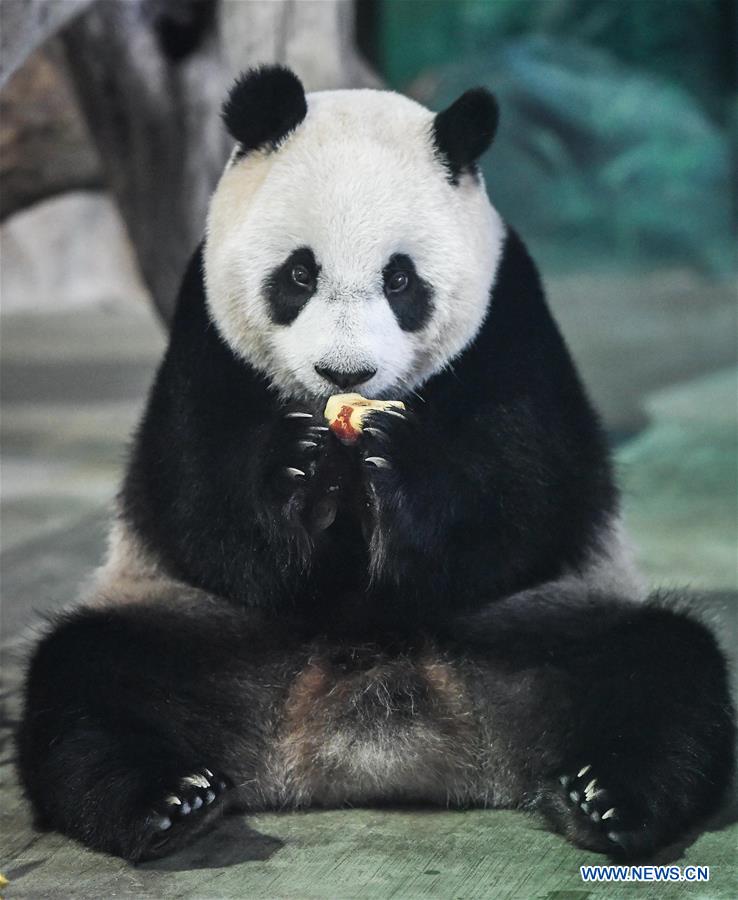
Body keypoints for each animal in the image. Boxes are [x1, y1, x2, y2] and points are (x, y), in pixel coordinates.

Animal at [17, 65, 734, 863]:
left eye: (400, 281)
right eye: (299, 274)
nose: (345, 373)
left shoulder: (510, 315)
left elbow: (532, 496)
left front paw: (399, 469)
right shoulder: (204, 330)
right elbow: (192, 499)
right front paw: (294, 470)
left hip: (540, 627)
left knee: (660, 666)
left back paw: (603, 799)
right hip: (198, 631)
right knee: (87, 679)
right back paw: (170, 802)